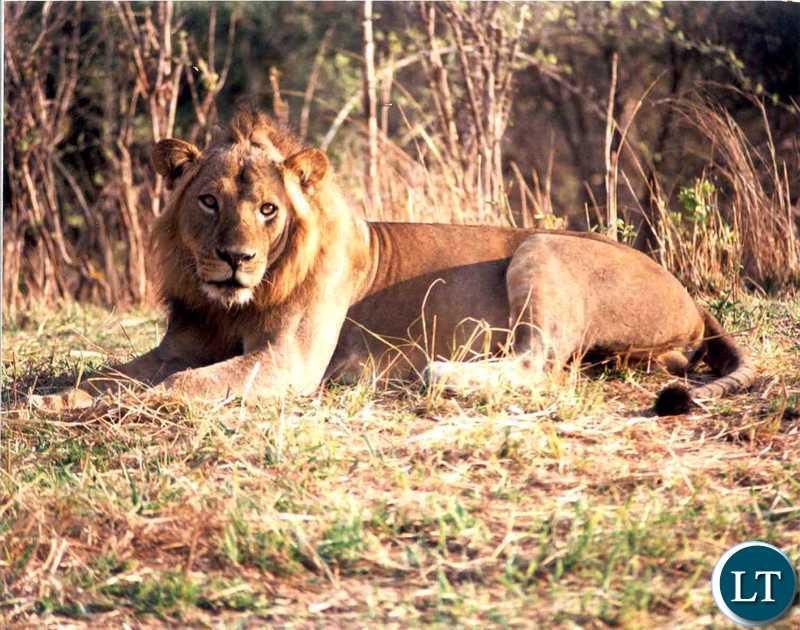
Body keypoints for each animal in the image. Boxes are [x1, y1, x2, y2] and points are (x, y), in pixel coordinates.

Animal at [32, 110, 754, 415]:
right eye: (208, 201)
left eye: (268, 210)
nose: (235, 259)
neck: (229, 304)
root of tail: (694, 301)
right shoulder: (177, 346)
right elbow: (111, 375)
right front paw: (55, 397)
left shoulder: (288, 362)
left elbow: (177, 388)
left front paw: (87, 410)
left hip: (539, 249)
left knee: (542, 367)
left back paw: (442, 375)